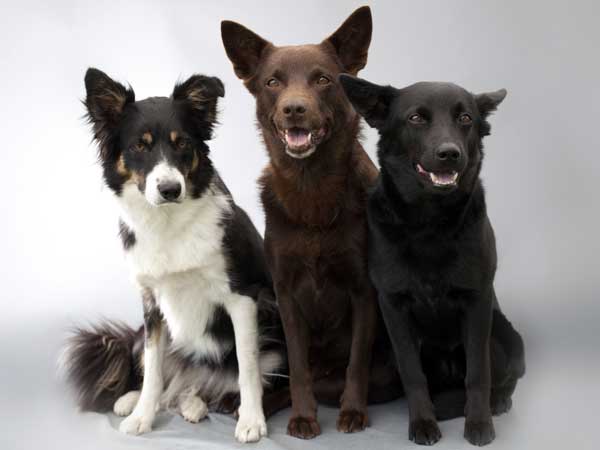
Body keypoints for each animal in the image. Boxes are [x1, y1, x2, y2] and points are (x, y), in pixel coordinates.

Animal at [62, 67, 288, 442]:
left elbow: (248, 369)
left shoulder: (243, 298)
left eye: (182, 143)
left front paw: (251, 421)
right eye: (139, 146)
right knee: (173, 382)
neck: (168, 221)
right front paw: (142, 416)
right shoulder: (151, 304)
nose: (169, 189)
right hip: (143, 336)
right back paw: (144, 400)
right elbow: (154, 371)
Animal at [220, 6, 398, 440]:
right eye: (272, 82)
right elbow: (298, 368)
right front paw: (303, 418)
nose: (294, 108)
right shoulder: (285, 294)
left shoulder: (363, 291)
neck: (312, 189)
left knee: (333, 378)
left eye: (322, 79)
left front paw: (353, 412)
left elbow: (356, 363)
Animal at [340, 75, 528, 444]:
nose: (450, 154)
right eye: (416, 118)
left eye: (465, 118)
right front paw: (423, 422)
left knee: (504, 377)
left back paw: (498, 401)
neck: (428, 224)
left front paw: (479, 423)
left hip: (502, 333)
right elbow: (413, 375)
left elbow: (478, 374)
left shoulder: (478, 302)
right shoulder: (393, 307)